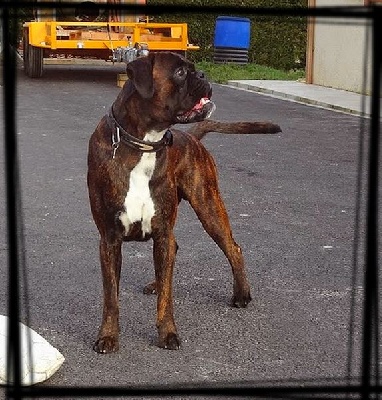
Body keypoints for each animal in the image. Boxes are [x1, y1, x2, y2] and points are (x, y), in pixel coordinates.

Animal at [88, 50, 282, 354]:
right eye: (180, 73)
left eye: (193, 68)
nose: (202, 74)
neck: (142, 143)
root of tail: (191, 136)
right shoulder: (109, 239)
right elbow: (111, 297)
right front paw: (108, 336)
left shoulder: (162, 231)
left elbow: (167, 299)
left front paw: (168, 333)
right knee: (175, 254)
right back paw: (157, 283)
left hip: (208, 206)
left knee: (233, 248)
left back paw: (242, 294)